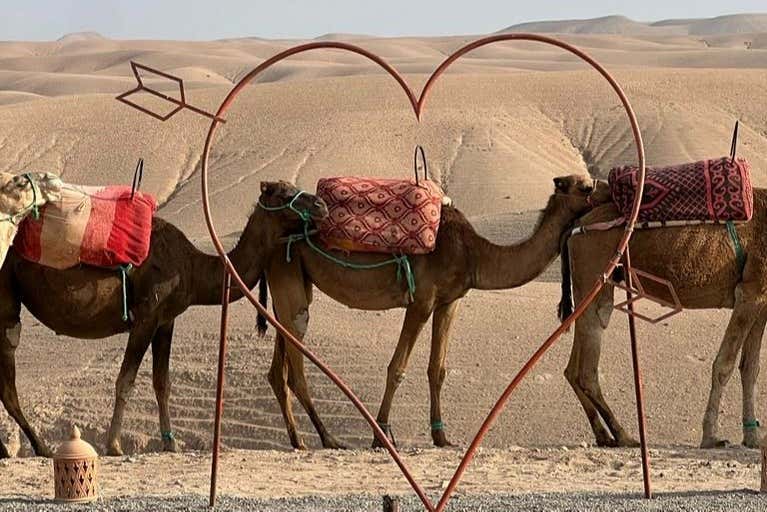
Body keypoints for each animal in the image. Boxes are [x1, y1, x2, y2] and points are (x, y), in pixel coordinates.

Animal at [0, 180, 327, 458]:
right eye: (283, 194)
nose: (322, 205)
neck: (193, 269)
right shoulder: (146, 316)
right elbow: (126, 380)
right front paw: (114, 445)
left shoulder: (165, 320)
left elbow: (162, 382)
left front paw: (171, 443)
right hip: (6, 291)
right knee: (8, 379)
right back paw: (40, 447)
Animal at [260, 175, 612, 449]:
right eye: (585, 186)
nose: (611, 192)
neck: (473, 253)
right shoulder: (422, 300)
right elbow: (397, 367)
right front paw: (381, 435)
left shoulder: (449, 302)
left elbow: (437, 369)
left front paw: (442, 437)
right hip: (287, 276)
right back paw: (319, 439)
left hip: (292, 284)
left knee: (279, 366)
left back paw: (298, 440)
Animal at [560, 189, 767, 449]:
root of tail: (576, 226)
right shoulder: (748, 293)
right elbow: (724, 365)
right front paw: (711, 437)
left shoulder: (761, 298)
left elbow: (751, 368)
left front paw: (753, 438)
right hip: (594, 271)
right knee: (587, 364)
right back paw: (624, 435)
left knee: (572, 367)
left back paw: (605, 435)